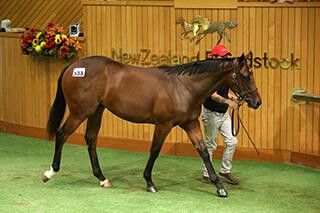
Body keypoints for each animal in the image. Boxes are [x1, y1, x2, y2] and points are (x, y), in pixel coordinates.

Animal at [42, 52, 262, 197]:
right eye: (245, 75)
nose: (257, 102)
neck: (183, 87)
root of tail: (73, 67)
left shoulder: (190, 124)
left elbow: (204, 152)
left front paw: (219, 187)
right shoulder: (163, 125)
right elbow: (155, 151)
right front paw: (149, 182)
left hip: (97, 111)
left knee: (91, 139)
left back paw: (102, 178)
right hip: (80, 112)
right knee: (62, 134)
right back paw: (50, 172)